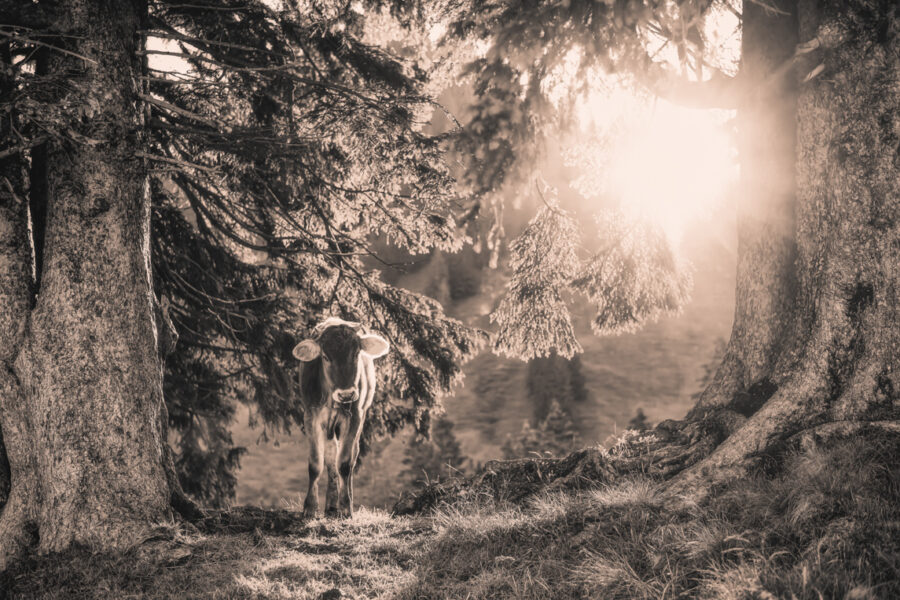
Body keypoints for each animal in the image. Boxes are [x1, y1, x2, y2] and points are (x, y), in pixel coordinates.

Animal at [294, 316, 388, 516]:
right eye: (325, 357)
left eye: (356, 354)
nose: (346, 394)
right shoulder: (311, 416)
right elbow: (316, 463)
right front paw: (310, 507)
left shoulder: (355, 416)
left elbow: (344, 463)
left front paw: (345, 506)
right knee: (331, 457)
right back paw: (330, 504)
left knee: (351, 457)